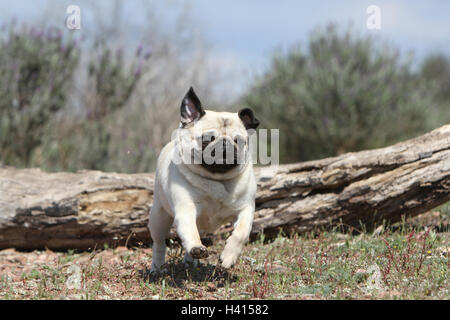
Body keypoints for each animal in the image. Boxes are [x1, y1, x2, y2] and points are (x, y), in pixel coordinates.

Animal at [149, 86, 258, 272]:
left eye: (238, 141)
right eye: (207, 139)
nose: (225, 145)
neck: (217, 179)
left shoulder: (245, 209)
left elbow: (241, 233)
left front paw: (229, 257)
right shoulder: (186, 208)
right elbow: (189, 231)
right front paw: (195, 247)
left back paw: (189, 261)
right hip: (159, 217)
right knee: (159, 243)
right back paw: (157, 268)